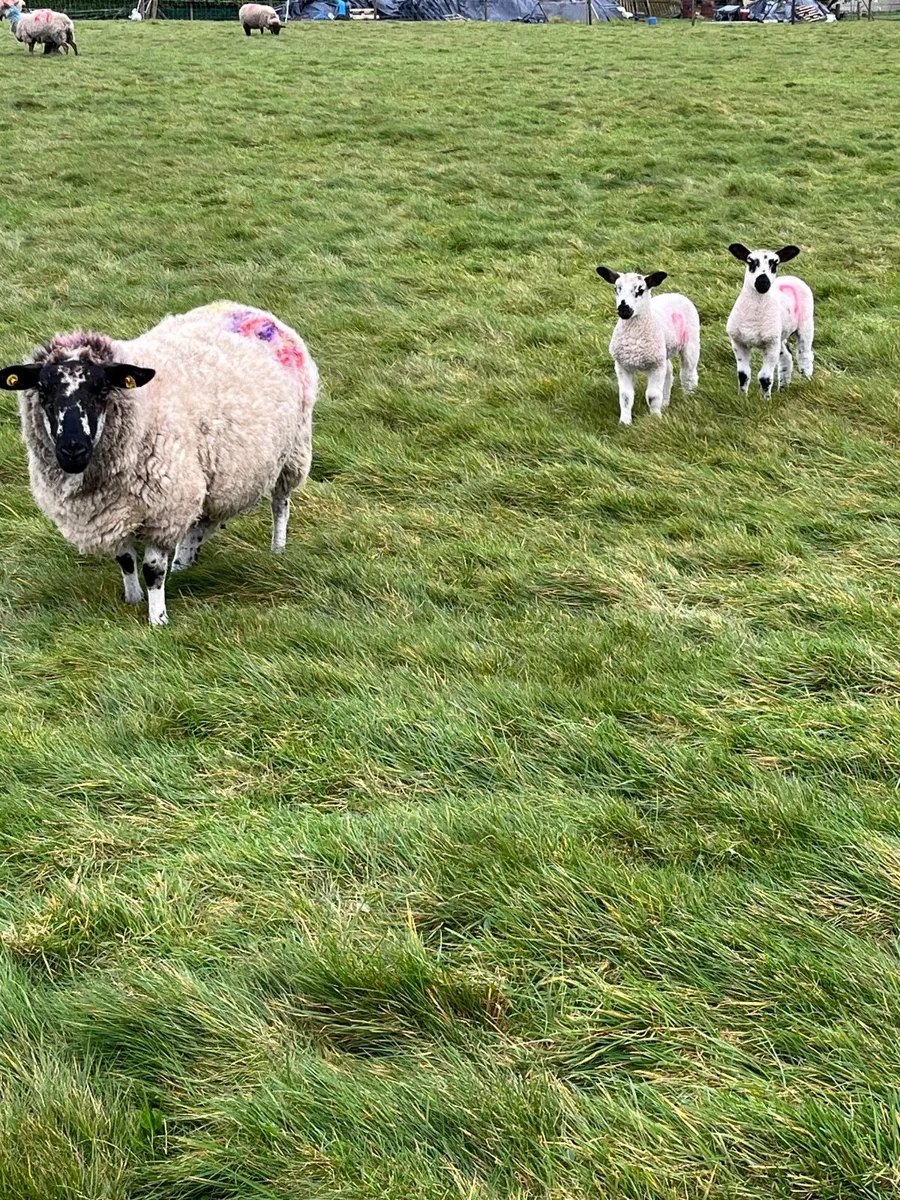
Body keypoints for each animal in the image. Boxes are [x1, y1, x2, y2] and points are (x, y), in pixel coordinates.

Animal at [0, 301, 318, 626]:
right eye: (43, 390)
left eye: (102, 389)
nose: (72, 449)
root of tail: (246, 309)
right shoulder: (116, 511)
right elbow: (126, 560)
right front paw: (133, 598)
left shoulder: (164, 509)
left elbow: (152, 569)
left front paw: (158, 619)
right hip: (207, 476)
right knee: (200, 522)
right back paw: (183, 562)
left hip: (292, 452)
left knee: (280, 504)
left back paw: (277, 548)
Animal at [596, 266, 700, 425]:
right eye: (616, 288)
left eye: (640, 290)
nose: (623, 309)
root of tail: (675, 294)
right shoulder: (622, 365)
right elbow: (625, 397)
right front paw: (624, 422)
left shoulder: (655, 366)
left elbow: (652, 395)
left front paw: (655, 419)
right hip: (663, 353)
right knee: (669, 372)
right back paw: (665, 404)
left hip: (691, 342)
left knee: (688, 373)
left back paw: (689, 396)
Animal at [725, 243, 814, 400]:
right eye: (750, 261)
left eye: (775, 263)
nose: (763, 283)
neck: (754, 318)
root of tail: (791, 277)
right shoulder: (738, 342)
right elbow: (743, 375)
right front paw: (742, 397)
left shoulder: (770, 345)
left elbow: (765, 378)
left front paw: (765, 400)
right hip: (779, 335)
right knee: (787, 358)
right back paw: (783, 388)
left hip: (806, 324)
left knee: (804, 355)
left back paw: (807, 381)